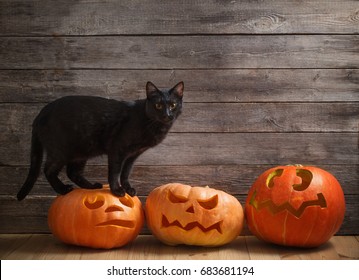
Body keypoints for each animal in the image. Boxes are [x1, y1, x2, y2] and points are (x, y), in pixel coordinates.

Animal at [16, 80, 184, 200]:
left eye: (173, 105)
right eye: (158, 105)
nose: (167, 115)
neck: (152, 123)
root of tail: (41, 112)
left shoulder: (133, 155)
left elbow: (125, 173)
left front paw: (128, 188)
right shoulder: (117, 150)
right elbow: (115, 172)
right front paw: (117, 191)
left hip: (81, 151)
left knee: (73, 172)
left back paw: (91, 187)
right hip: (62, 150)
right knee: (48, 169)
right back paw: (63, 189)